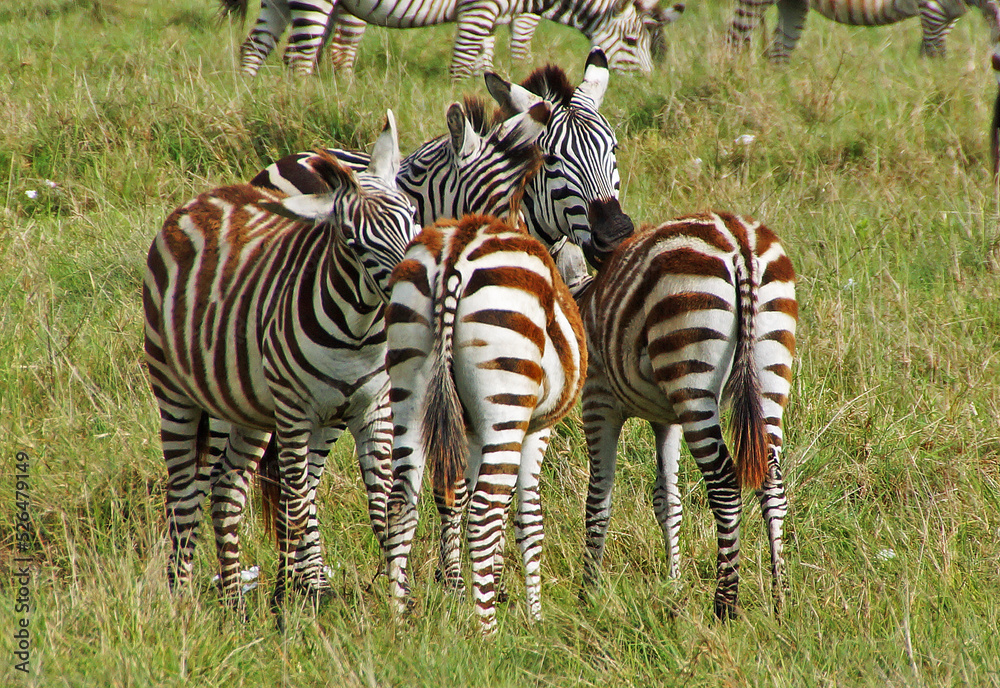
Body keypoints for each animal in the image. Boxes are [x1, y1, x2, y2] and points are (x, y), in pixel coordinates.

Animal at [383, 213, 586, 635]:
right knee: (484, 514)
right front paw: (534, 616)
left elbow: (458, 497)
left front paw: (478, 586)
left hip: (409, 386)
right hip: (506, 395)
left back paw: (398, 619)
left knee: (402, 504)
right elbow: (528, 519)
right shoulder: (535, 429)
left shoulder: (474, 433)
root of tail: (458, 246)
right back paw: (487, 633)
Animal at [550, 212, 798, 619]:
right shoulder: (666, 420)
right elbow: (667, 500)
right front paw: (674, 585)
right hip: (767, 372)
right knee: (772, 482)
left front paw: (588, 595)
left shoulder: (599, 401)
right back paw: (780, 599)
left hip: (692, 370)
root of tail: (740, 241)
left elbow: (598, 499)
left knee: (725, 485)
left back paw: (724, 605)